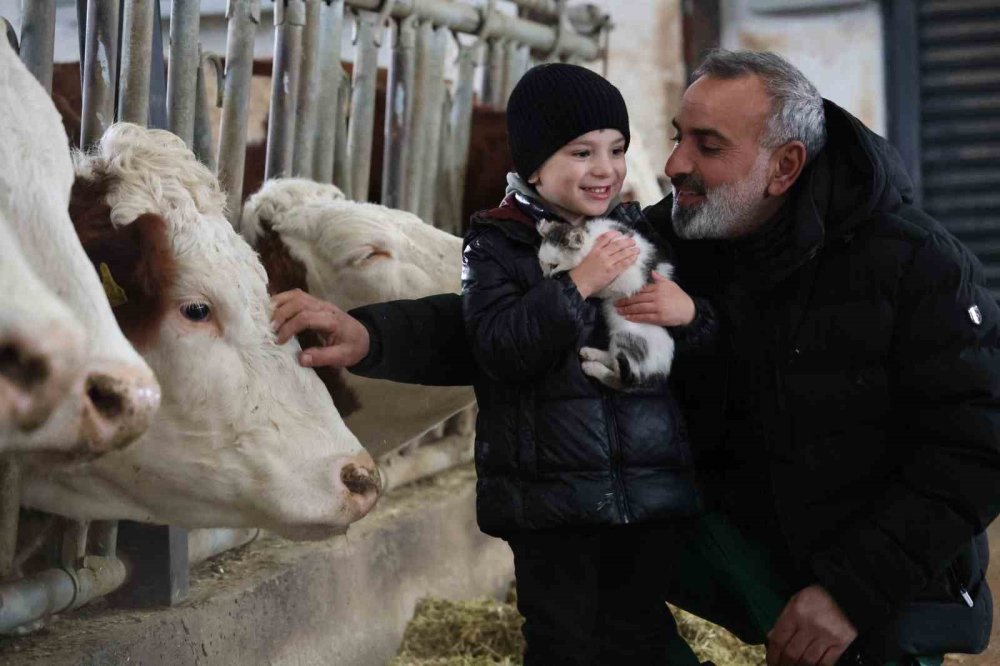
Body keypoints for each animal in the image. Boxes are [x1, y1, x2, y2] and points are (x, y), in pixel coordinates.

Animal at [536, 217, 676, 390]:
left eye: (554, 266)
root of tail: (660, 371)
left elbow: (607, 288)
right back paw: (590, 353)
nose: (546, 277)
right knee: (613, 360)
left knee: (619, 380)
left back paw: (591, 367)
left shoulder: (628, 280)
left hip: (628, 337)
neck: (592, 240)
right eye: (541, 262)